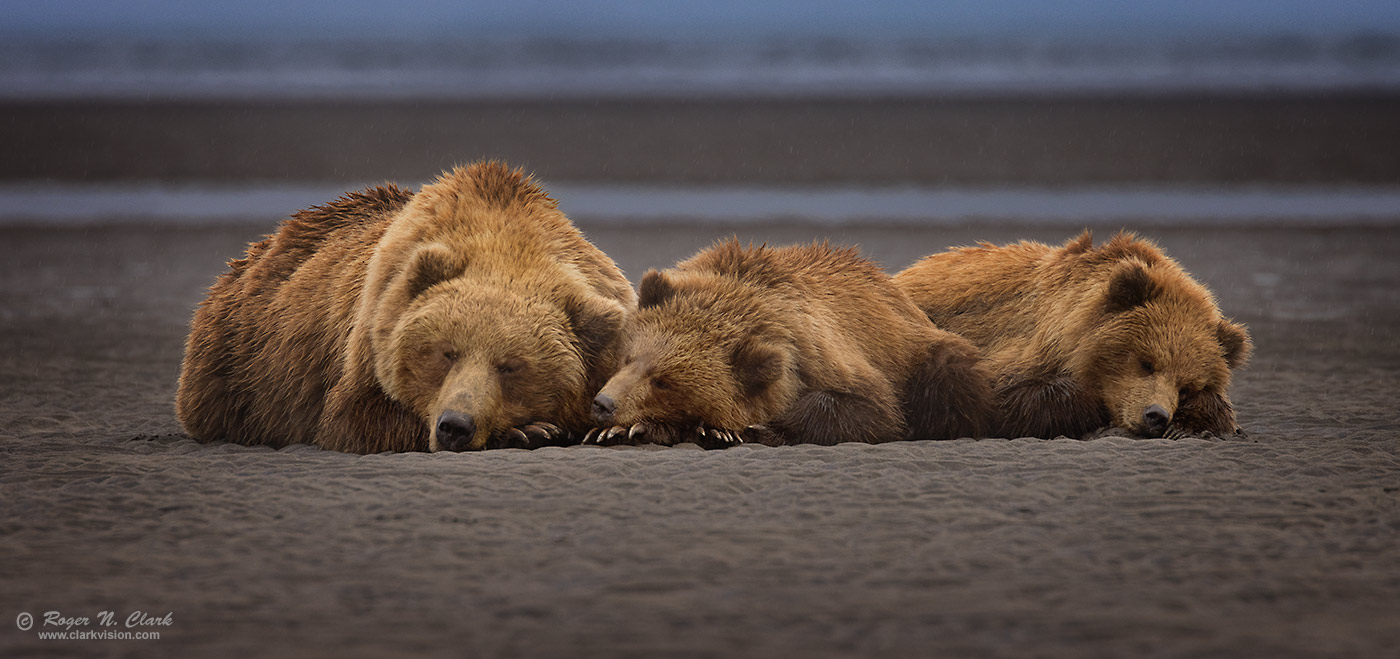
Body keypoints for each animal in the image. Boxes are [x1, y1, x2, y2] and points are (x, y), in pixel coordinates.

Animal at [176, 162, 635, 456]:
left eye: (510, 365)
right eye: (445, 352)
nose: (455, 425)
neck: (505, 246)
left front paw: (610, 427)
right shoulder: (371, 337)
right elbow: (354, 418)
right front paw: (527, 431)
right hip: (237, 370)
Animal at [585, 239, 991, 447]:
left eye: (664, 381)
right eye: (628, 358)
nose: (603, 404)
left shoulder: (825, 352)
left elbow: (871, 407)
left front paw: (741, 429)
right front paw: (626, 430)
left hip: (925, 352)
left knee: (949, 377)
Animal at [890, 229, 1254, 442]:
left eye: (1187, 385)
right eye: (1146, 362)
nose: (1156, 416)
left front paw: (1191, 424)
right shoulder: (1015, 341)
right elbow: (995, 397)